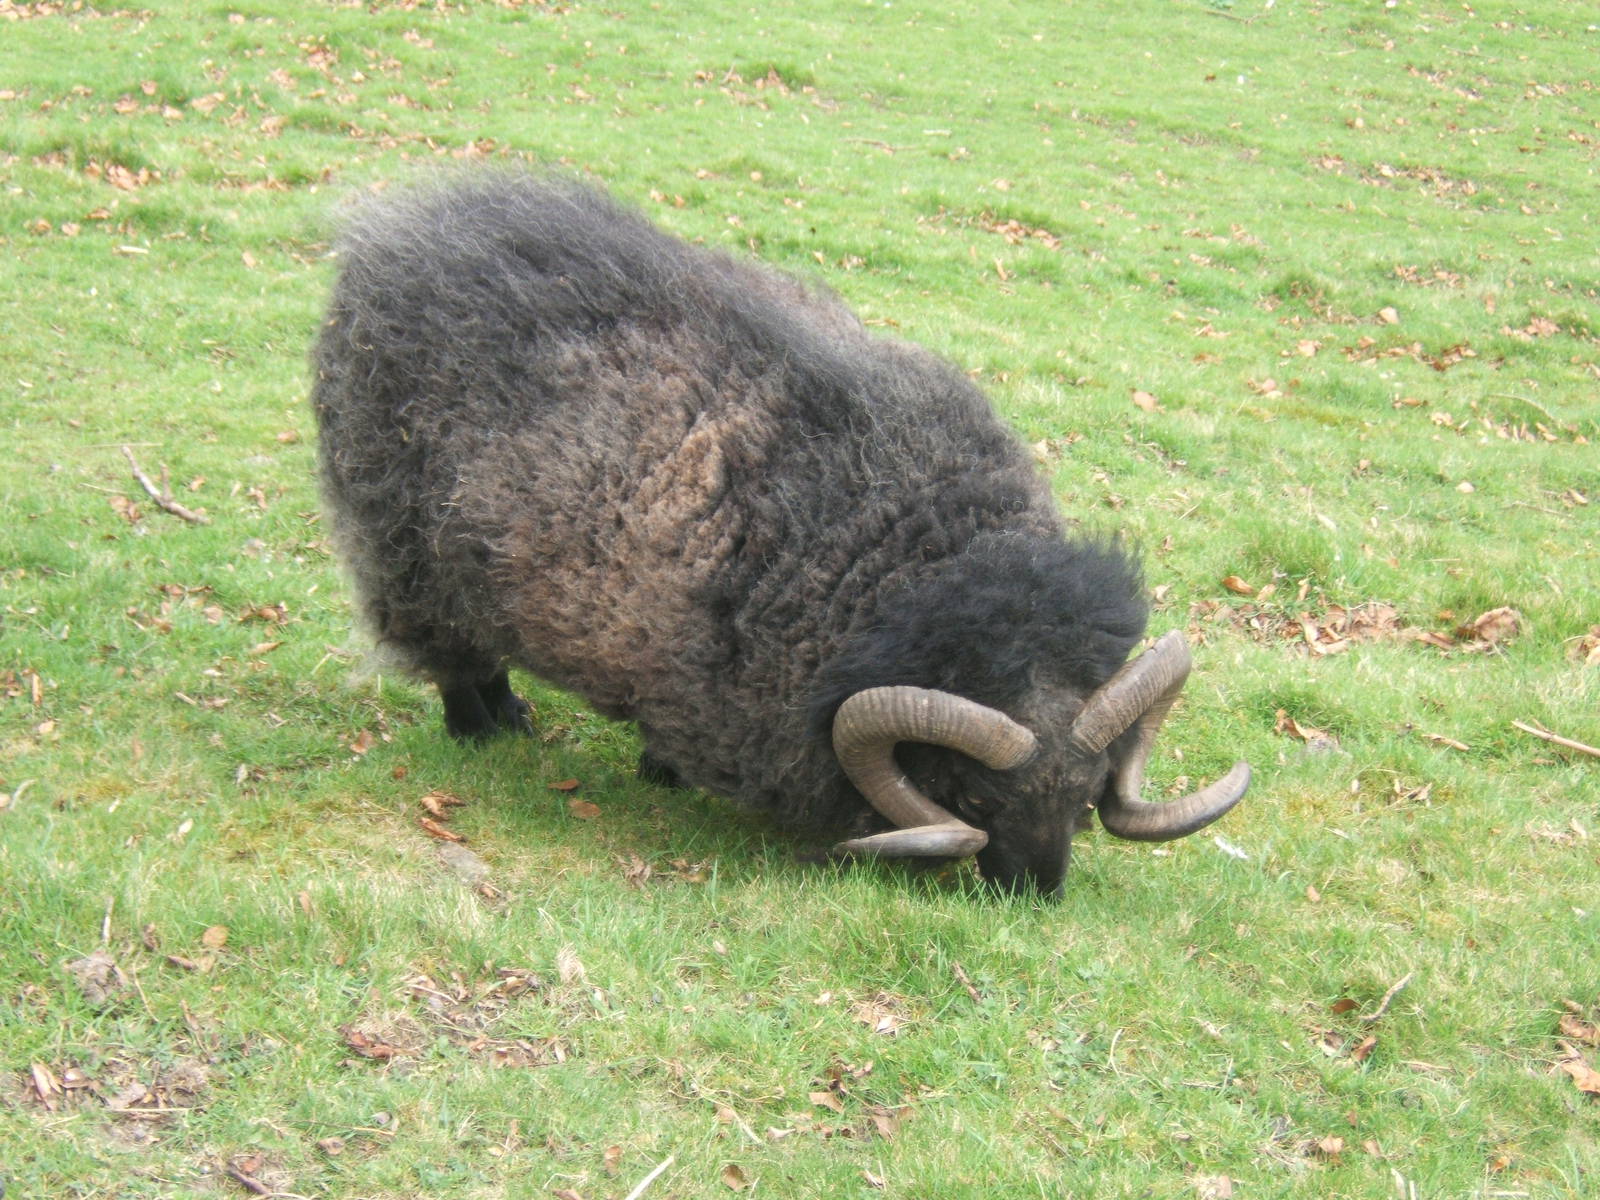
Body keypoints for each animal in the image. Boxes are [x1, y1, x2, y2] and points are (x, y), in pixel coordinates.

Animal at [311, 172, 1249, 896]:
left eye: (1089, 793)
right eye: (978, 800)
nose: (1038, 894)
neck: (912, 576)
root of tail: (396, 230)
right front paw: (660, 772)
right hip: (407, 546)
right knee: (455, 657)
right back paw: (489, 728)